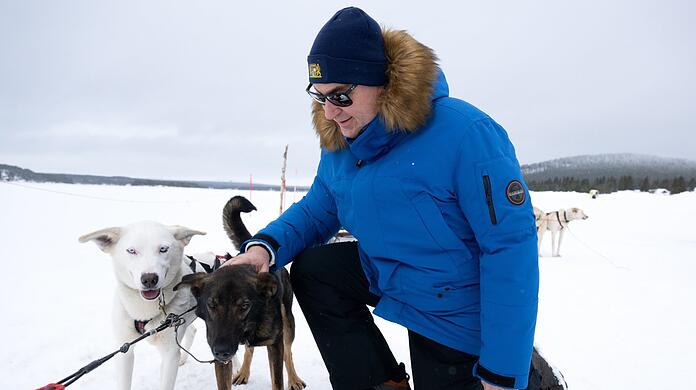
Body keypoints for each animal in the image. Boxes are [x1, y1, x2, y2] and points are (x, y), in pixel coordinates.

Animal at [80, 222, 204, 390]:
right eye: (131, 250)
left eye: (163, 249)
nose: (149, 279)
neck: (144, 312)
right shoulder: (124, 350)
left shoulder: (170, 354)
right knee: (192, 331)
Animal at [174, 198, 304, 390]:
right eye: (211, 305)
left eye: (244, 305)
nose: (222, 350)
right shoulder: (220, 356)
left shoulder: (275, 344)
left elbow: (278, 378)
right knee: (249, 349)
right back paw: (243, 372)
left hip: (288, 320)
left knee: (288, 352)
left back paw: (294, 379)